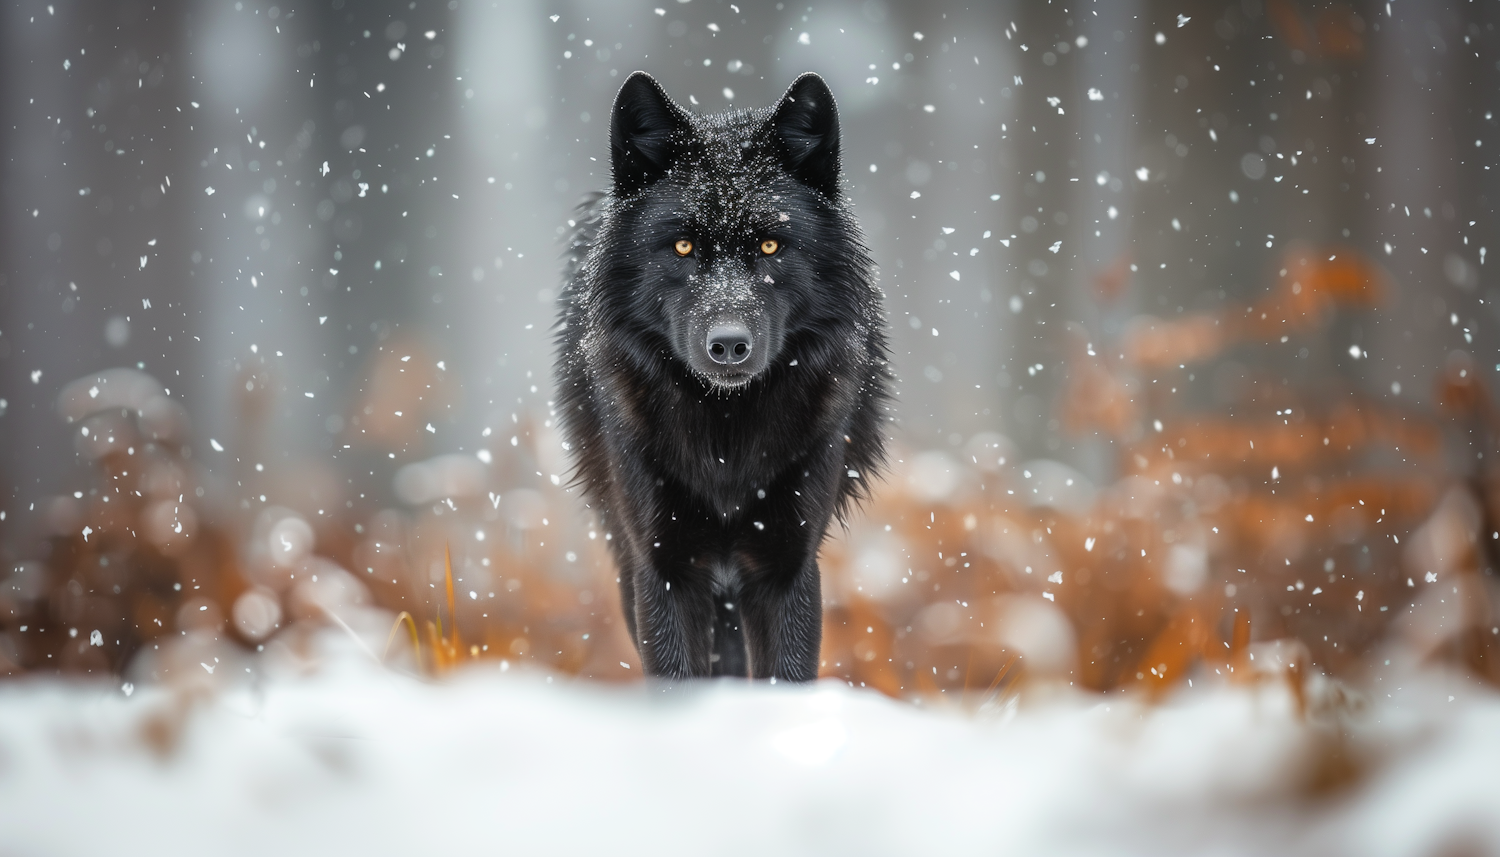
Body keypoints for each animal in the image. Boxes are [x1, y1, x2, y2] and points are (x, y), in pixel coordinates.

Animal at [561, 70, 888, 681]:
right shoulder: (662, 567)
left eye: (771, 244)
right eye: (683, 245)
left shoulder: (787, 566)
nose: (730, 345)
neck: (727, 436)